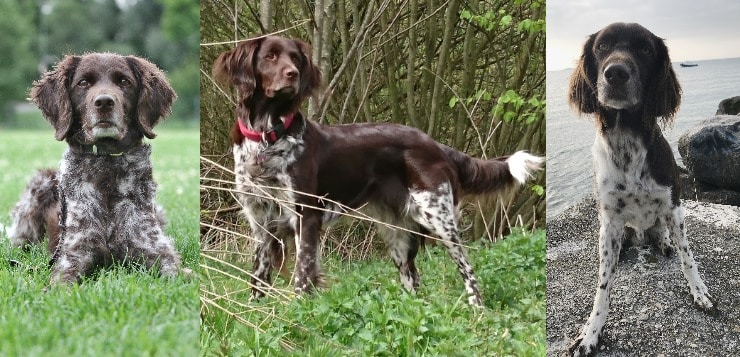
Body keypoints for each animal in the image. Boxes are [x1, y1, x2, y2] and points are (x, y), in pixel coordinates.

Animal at [214, 34, 544, 304]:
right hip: (396, 232)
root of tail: (434, 143)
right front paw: (256, 313)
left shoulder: (306, 215)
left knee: (468, 271)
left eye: (295, 58)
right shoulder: (259, 220)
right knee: (413, 281)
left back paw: (477, 310)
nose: (292, 74)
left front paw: (297, 316)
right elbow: (258, 275)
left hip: (440, 218)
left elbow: (302, 274)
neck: (267, 136)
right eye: (270, 56)